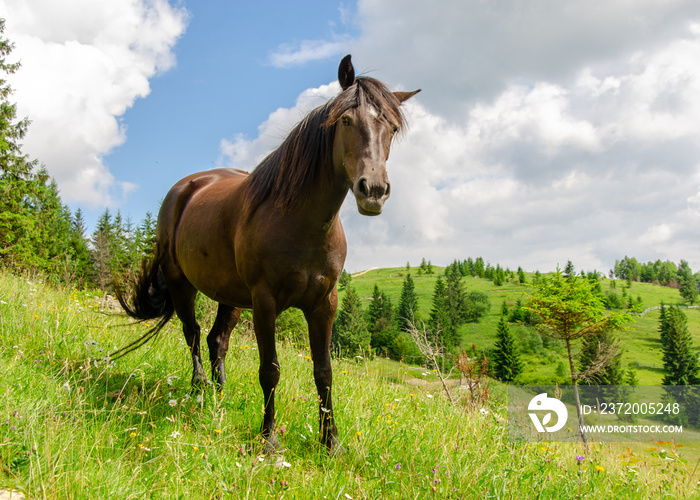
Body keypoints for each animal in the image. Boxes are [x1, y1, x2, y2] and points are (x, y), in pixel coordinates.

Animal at [114, 55, 418, 454]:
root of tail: (185, 188)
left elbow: (324, 372)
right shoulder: (265, 301)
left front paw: (331, 442)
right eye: (346, 120)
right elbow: (269, 369)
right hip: (183, 284)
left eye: (393, 128)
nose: (374, 190)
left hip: (229, 296)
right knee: (192, 334)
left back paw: (220, 394)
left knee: (216, 340)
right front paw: (269, 439)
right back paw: (199, 388)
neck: (298, 220)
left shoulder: (324, 304)